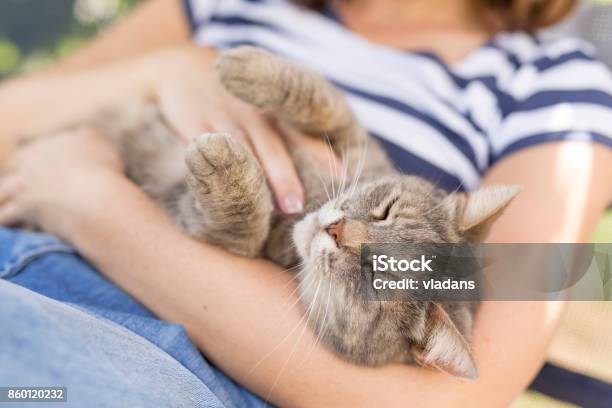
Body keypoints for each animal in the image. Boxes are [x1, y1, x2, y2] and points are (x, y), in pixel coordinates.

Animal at [93, 47, 520, 380]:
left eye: (375, 277)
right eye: (385, 211)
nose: (335, 228)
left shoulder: (216, 231)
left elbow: (239, 228)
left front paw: (224, 167)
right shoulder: (354, 140)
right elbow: (325, 102)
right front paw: (244, 66)